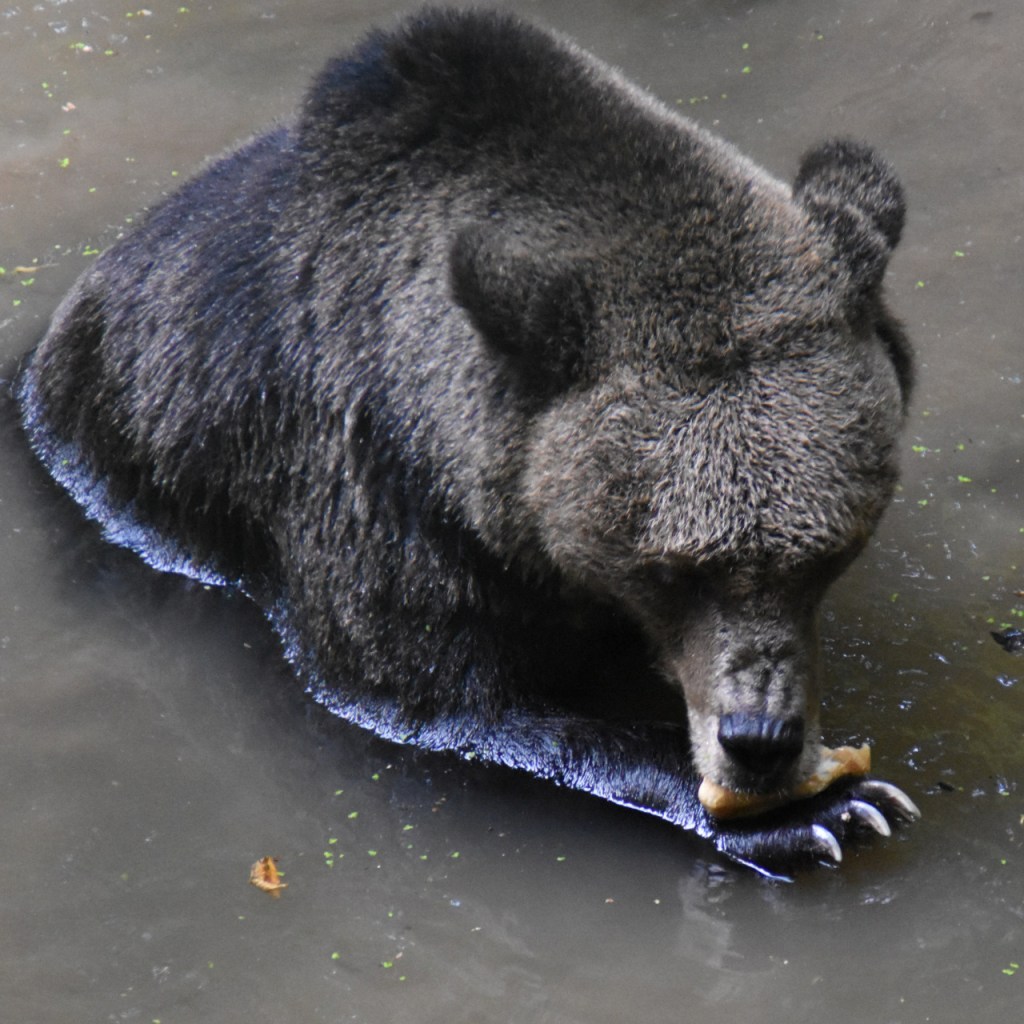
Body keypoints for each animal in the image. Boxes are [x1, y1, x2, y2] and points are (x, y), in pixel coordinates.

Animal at [17, 7, 919, 875]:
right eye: (671, 570)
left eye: (824, 554)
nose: (758, 742)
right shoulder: (372, 494)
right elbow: (441, 698)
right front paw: (825, 810)